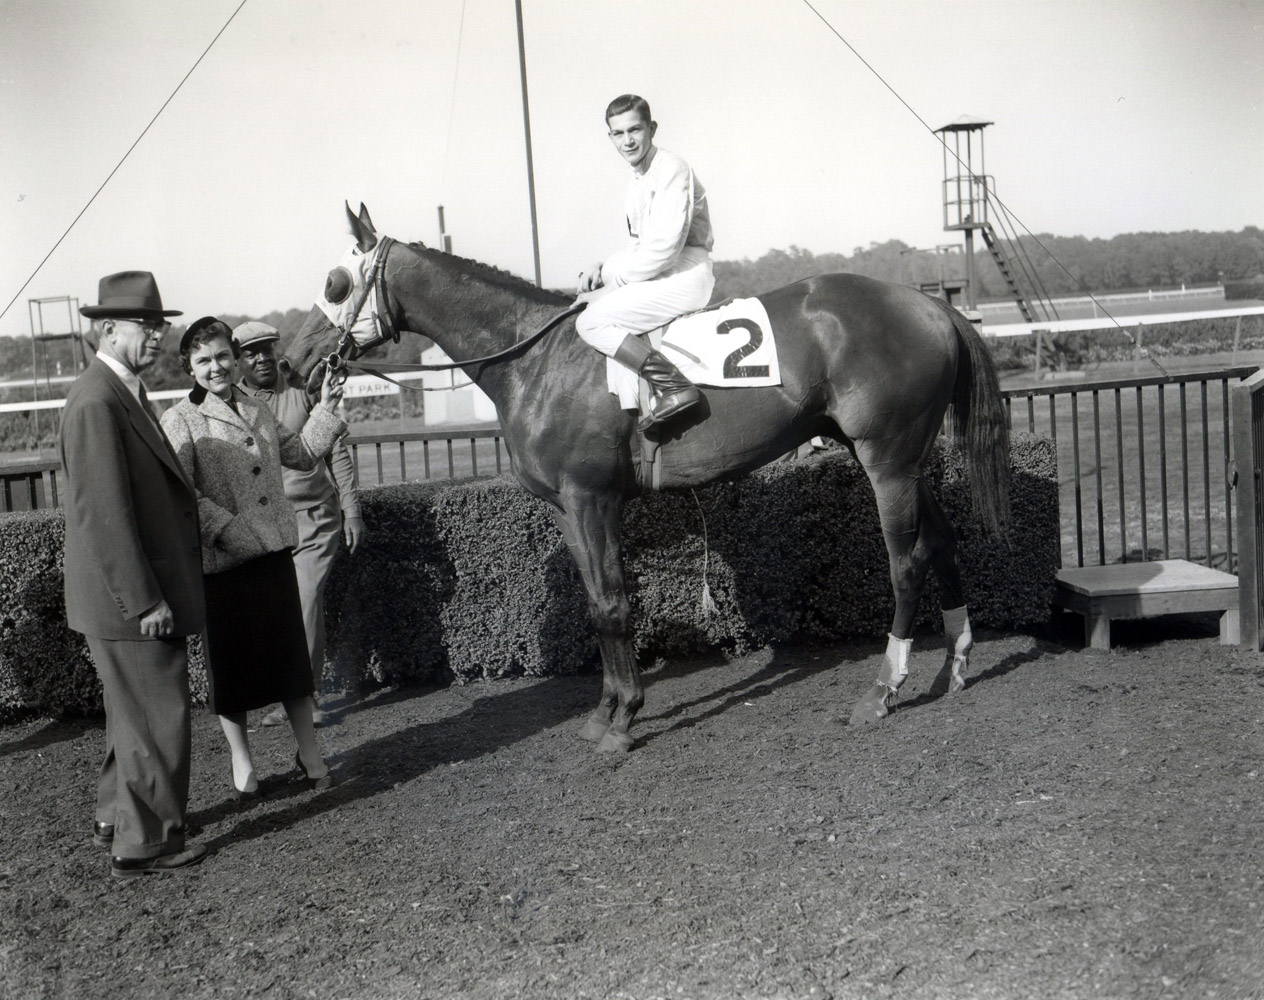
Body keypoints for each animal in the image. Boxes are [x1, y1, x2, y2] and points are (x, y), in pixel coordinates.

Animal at [286, 203, 1006, 748]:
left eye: (334, 283)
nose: (291, 362)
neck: (538, 361)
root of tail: (930, 307)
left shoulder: (592, 499)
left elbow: (611, 604)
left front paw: (624, 718)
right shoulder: (565, 507)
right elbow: (595, 602)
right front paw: (605, 711)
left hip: (886, 460)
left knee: (905, 563)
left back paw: (884, 689)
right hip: (898, 460)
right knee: (941, 543)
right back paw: (956, 661)